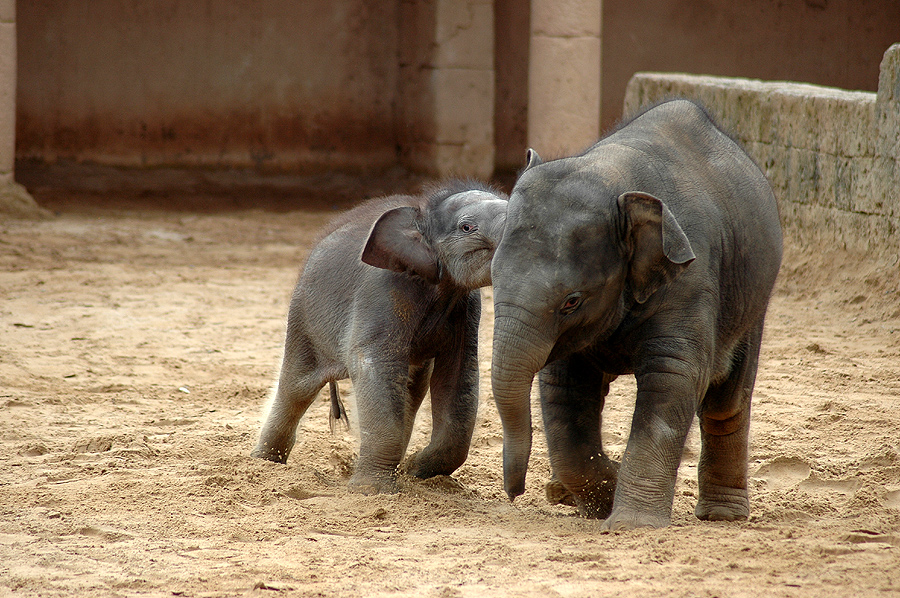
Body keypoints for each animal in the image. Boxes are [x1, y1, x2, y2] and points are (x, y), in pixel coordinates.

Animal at [251, 179, 506, 496]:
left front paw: (414, 470)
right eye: (467, 227)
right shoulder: (383, 290)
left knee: (413, 389)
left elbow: (460, 375)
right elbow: (373, 363)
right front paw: (372, 490)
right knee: (296, 388)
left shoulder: (467, 308)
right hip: (304, 319)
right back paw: (265, 464)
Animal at [492, 101, 780, 532]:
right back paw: (563, 493)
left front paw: (630, 523)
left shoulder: (691, 278)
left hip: (751, 303)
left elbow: (672, 377)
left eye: (571, 301)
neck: (613, 174)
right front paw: (601, 498)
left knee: (726, 401)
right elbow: (563, 388)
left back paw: (722, 516)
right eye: (491, 277)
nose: (514, 493)